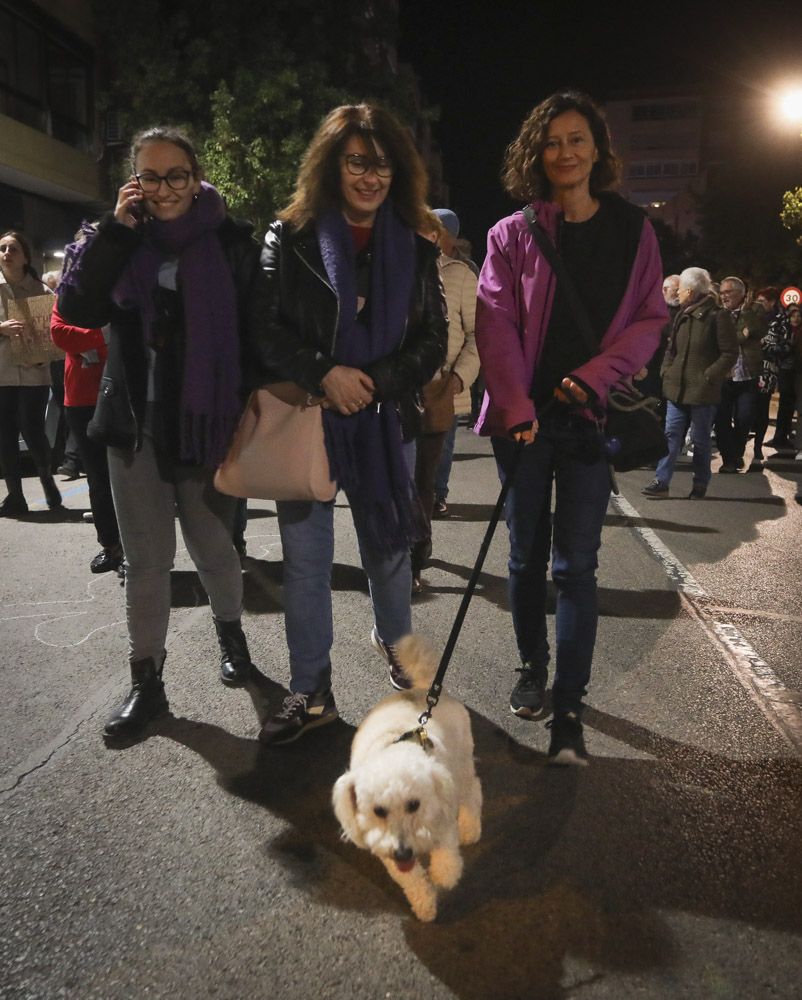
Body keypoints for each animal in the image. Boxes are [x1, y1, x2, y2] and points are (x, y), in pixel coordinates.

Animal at [332, 632, 482, 920]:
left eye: (414, 805)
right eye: (378, 811)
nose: (403, 852)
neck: (395, 747)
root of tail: (426, 691)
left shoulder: (443, 812)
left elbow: (446, 856)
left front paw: (444, 875)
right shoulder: (384, 847)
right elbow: (410, 879)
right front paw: (424, 904)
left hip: (461, 761)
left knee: (473, 791)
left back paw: (470, 828)